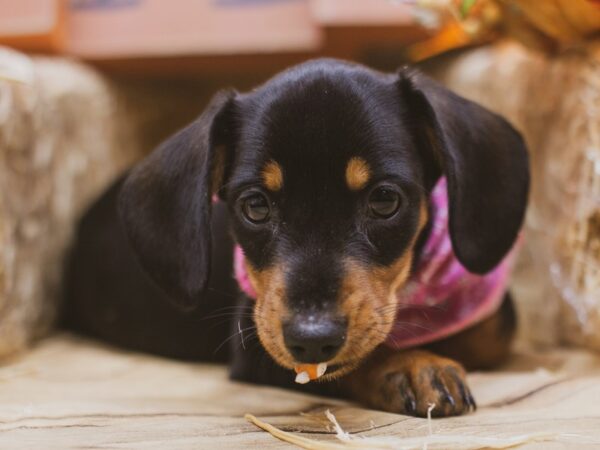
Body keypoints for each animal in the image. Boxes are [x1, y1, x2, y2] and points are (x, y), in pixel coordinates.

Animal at [63, 59, 528, 418]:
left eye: (384, 200)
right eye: (254, 205)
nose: (313, 337)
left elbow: (486, 333)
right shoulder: (257, 346)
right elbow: (358, 359)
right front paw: (414, 367)